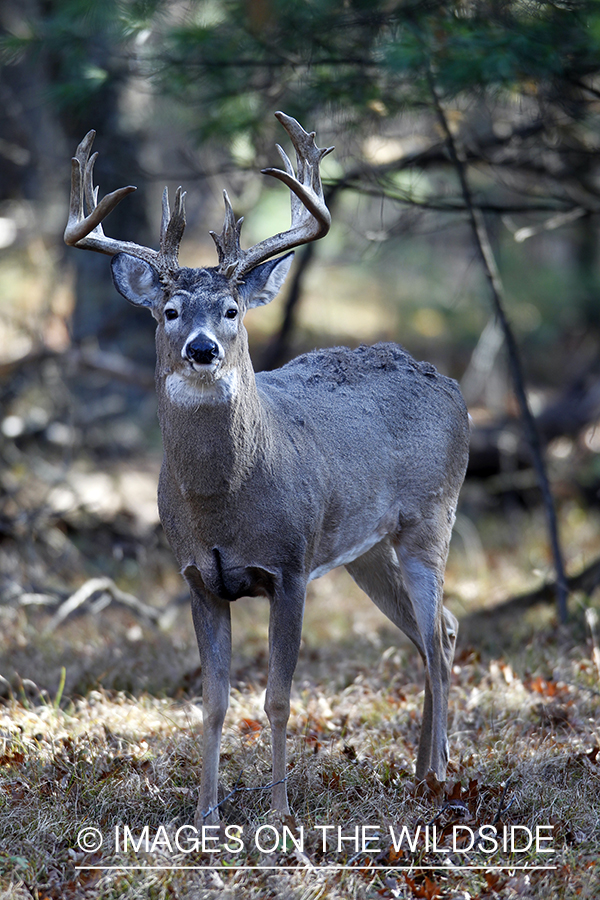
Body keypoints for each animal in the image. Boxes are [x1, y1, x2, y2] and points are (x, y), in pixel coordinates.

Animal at [64, 114, 468, 828]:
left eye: (231, 310)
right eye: (170, 311)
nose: (202, 350)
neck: (223, 504)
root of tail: (454, 390)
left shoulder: (290, 565)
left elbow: (278, 697)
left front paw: (279, 812)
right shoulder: (199, 576)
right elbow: (214, 701)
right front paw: (206, 814)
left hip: (430, 519)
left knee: (441, 637)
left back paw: (440, 775)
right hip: (366, 550)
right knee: (435, 634)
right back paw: (421, 771)